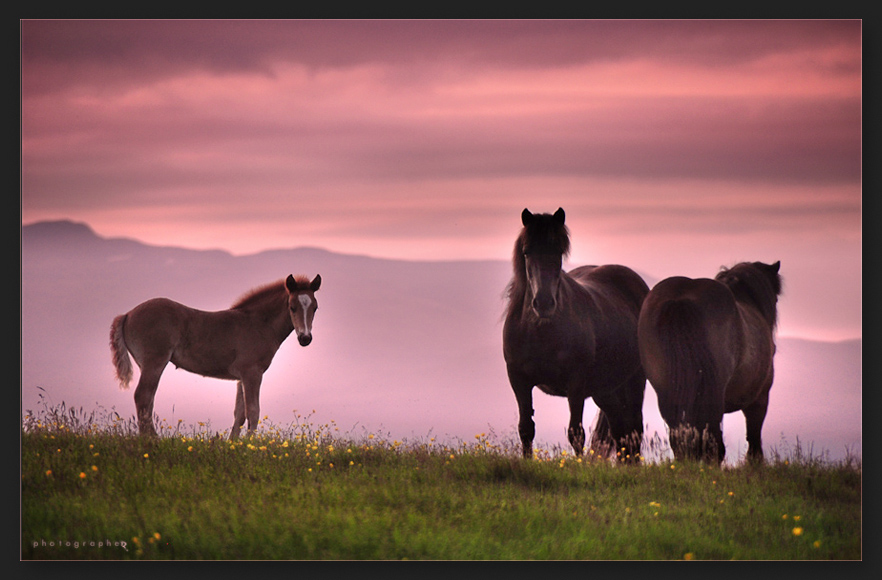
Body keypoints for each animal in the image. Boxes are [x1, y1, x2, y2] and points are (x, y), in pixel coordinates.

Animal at [110, 274, 322, 438]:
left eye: (315, 307)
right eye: (292, 306)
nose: (305, 338)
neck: (258, 324)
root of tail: (127, 314)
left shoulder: (241, 377)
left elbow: (239, 413)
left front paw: (234, 445)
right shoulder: (252, 373)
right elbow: (253, 411)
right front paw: (251, 445)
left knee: (147, 399)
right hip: (154, 362)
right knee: (143, 396)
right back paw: (152, 440)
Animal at [502, 207, 648, 458]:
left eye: (558, 250)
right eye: (527, 251)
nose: (543, 303)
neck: (540, 332)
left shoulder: (576, 384)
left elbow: (576, 433)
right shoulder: (518, 380)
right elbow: (526, 429)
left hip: (634, 380)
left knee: (633, 431)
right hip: (606, 390)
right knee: (620, 430)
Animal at [636, 260, 780, 464]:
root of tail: (680, 299)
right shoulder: (760, 396)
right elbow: (754, 434)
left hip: (665, 390)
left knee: (679, 434)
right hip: (714, 391)